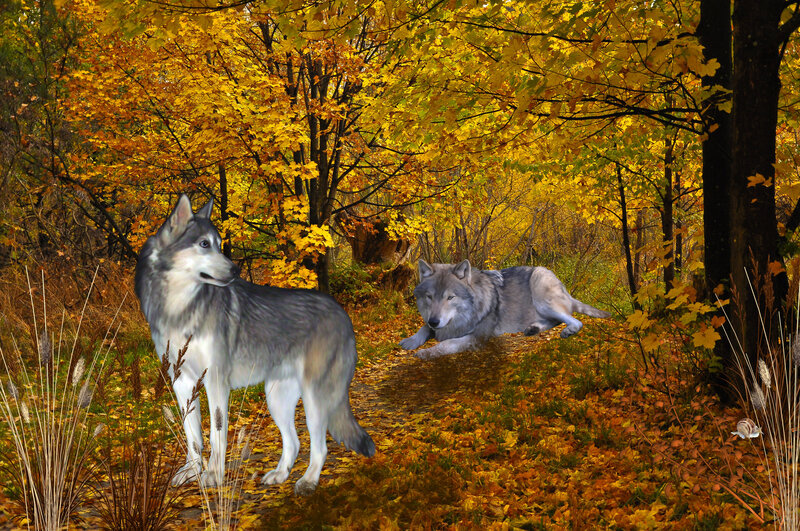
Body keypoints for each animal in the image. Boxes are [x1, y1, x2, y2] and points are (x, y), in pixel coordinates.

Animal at [134, 195, 375, 495]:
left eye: (219, 244)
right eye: (204, 244)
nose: (235, 269)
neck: (179, 308)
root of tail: (342, 312)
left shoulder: (216, 381)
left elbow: (217, 435)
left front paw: (213, 475)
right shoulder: (182, 383)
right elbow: (193, 437)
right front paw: (192, 471)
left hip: (314, 398)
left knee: (320, 447)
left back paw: (308, 481)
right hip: (276, 398)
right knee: (294, 442)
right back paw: (280, 475)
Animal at [399, 260, 611, 359]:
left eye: (450, 298)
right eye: (430, 297)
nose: (435, 321)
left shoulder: (478, 336)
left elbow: (446, 344)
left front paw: (425, 353)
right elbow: (424, 328)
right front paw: (411, 341)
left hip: (542, 295)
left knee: (574, 320)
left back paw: (568, 331)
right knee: (557, 320)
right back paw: (533, 328)